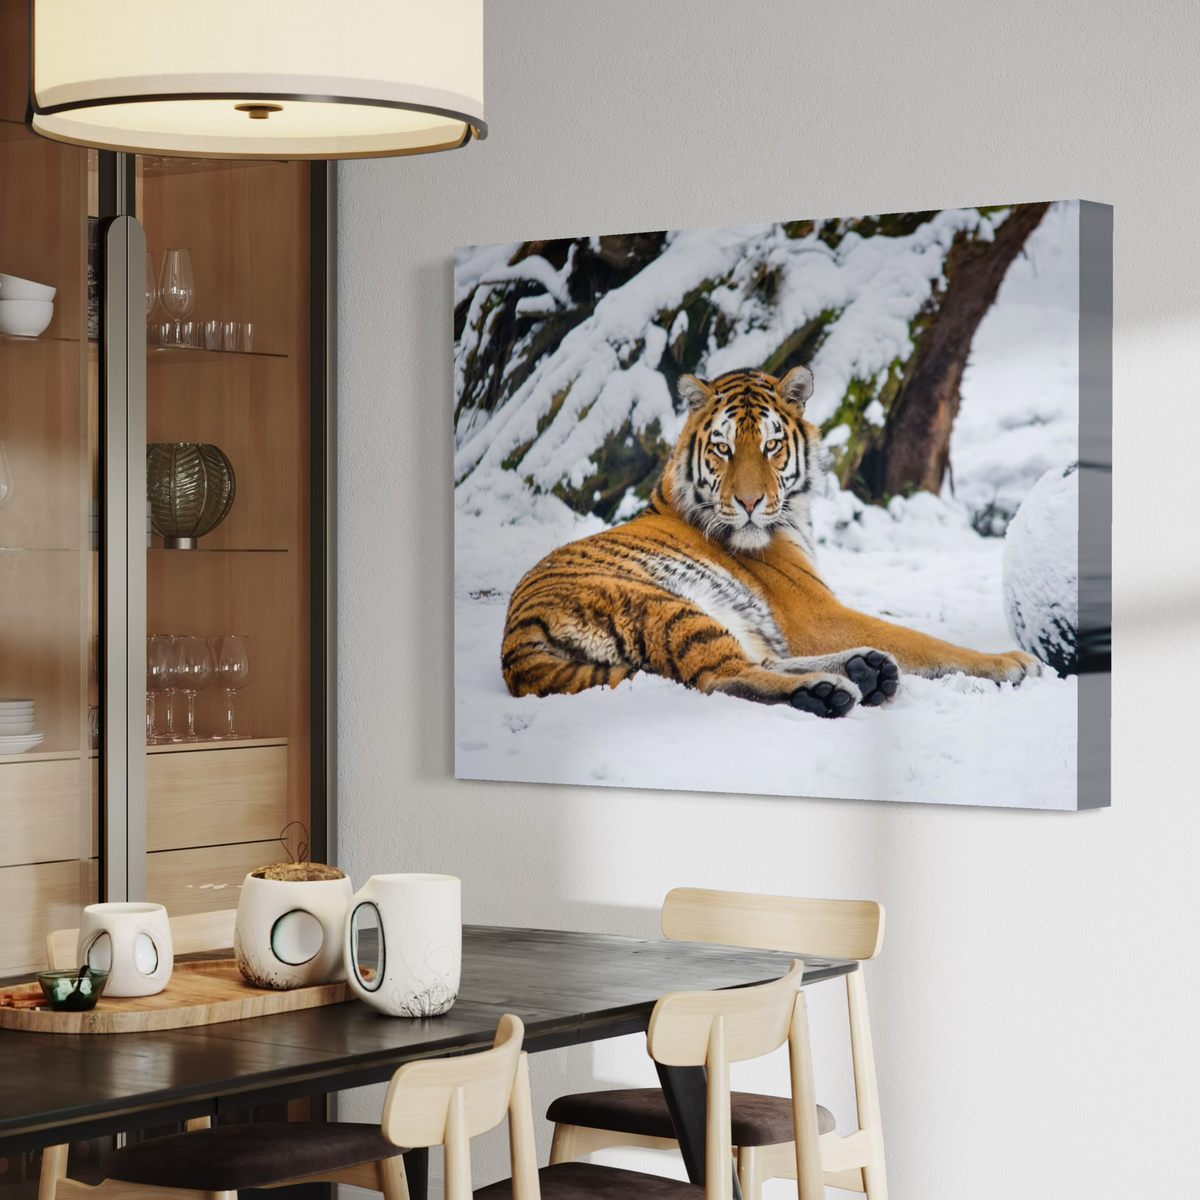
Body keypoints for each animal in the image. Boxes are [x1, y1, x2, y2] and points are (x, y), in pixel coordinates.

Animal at [501, 366, 1041, 717]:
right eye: (722, 448)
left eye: (771, 445)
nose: (748, 501)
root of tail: (516, 652)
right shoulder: (816, 612)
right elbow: (923, 641)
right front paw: (1011, 662)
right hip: (664, 606)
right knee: (718, 677)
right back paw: (826, 690)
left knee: (754, 658)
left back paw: (865, 668)